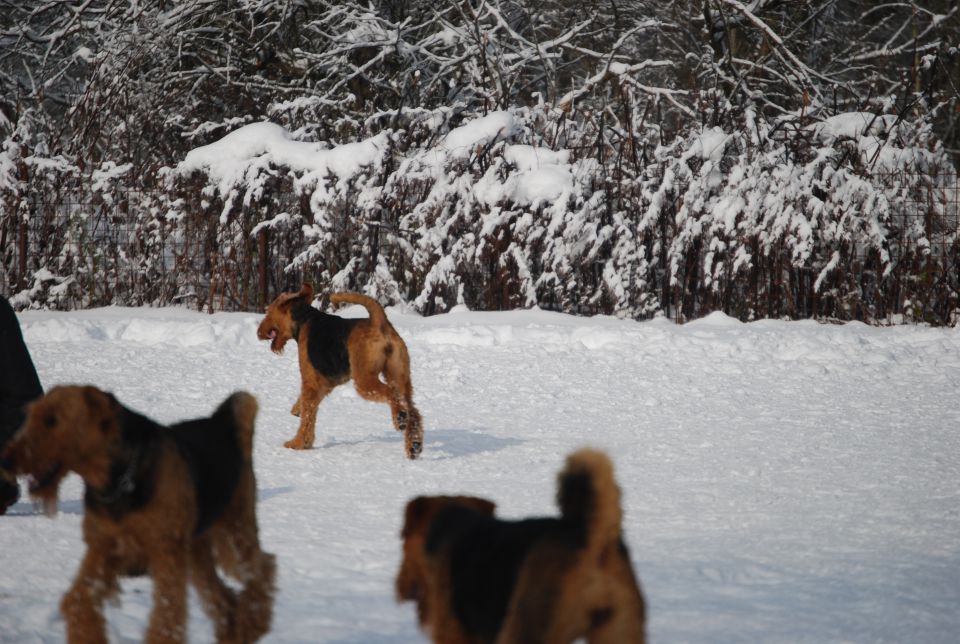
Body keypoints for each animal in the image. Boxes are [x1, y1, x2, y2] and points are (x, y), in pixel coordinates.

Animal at [1, 384, 276, 640]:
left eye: (52, 420)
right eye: (31, 414)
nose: (6, 461)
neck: (118, 480)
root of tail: (222, 423)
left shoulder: (165, 555)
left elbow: (167, 619)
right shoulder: (103, 548)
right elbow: (78, 600)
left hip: (232, 534)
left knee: (263, 566)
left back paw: (253, 625)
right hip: (196, 550)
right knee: (223, 597)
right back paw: (235, 630)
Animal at [256, 284, 422, 458]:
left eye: (268, 312)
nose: (258, 332)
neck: (304, 320)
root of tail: (379, 322)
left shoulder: (310, 381)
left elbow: (308, 416)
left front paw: (298, 443)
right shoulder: (325, 383)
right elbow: (306, 408)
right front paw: (296, 412)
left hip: (364, 381)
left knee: (393, 394)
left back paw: (400, 418)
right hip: (398, 374)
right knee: (413, 410)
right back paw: (414, 445)